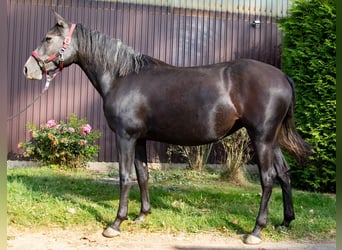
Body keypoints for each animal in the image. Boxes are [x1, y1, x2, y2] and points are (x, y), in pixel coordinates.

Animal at [24, 12, 310, 244]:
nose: (28, 69)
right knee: (284, 173)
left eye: (48, 38)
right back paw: (285, 222)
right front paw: (142, 215)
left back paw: (255, 231)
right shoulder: (139, 139)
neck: (122, 77)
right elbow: (143, 175)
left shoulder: (125, 137)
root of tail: (282, 77)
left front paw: (116, 223)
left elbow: (125, 177)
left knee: (268, 178)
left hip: (261, 138)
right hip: (271, 139)